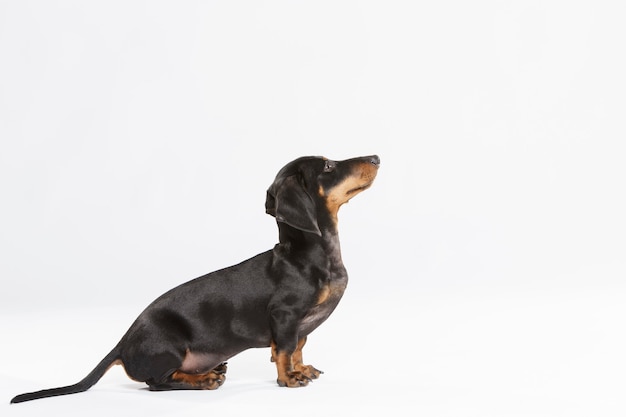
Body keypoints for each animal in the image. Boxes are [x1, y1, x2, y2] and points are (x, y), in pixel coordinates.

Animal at [11, 154, 380, 402]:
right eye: (328, 166)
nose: (376, 157)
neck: (306, 256)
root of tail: (122, 344)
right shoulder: (285, 316)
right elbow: (286, 350)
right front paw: (288, 378)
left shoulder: (300, 326)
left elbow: (299, 347)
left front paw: (301, 370)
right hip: (169, 346)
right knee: (156, 383)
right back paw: (203, 380)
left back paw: (209, 371)